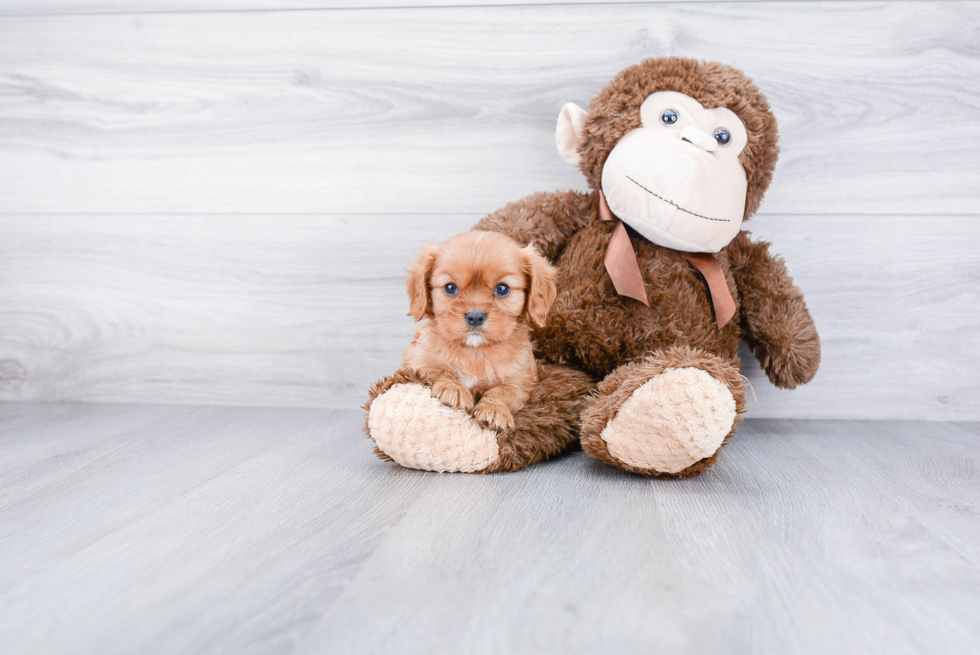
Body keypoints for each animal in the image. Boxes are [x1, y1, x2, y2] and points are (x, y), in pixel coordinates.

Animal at [400, 228, 556, 434]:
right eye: (450, 287)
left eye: (502, 288)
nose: (475, 316)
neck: (474, 351)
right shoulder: (415, 364)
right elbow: (438, 372)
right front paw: (454, 389)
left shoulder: (520, 384)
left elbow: (502, 391)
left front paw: (494, 409)